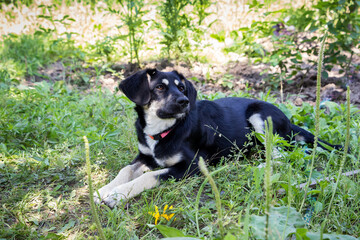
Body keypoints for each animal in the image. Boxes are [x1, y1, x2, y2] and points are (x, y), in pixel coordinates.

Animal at [94, 68, 342, 207]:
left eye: (181, 88)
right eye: (160, 88)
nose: (185, 101)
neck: (164, 129)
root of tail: (289, 122)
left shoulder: (191, 166)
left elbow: (149, 176)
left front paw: (117, 195)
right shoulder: (144, 156)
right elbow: (125, 170)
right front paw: (103, 190)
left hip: (260, 116)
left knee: (280, 156)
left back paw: (260, 165)